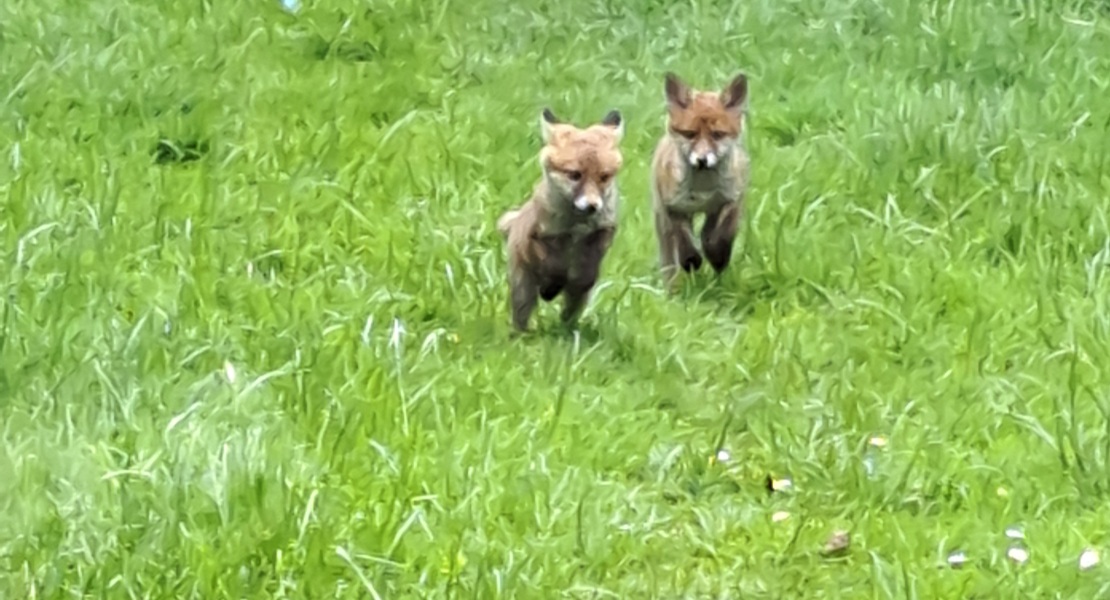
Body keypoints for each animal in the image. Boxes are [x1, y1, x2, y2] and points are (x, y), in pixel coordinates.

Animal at [496, 107, 625, 332]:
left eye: (603, 177)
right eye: (575, 175)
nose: (592, 206)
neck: (576, 227)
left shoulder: (602, 233)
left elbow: (586, 269)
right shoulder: (539, 237)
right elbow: (553, 265)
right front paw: (551, 286)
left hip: (576, 300)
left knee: (569, 314)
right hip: (522, 288)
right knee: (521, 314)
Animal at [650, 71, 751, 291]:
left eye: (718, 135)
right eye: (689, 134)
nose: (702, 160)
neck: (703, 188)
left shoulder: (731, 200)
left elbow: (720, 237)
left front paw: (718, 257)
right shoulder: (673, 207)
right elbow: (684, 241)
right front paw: (691, 260)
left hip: (711, 213)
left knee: (706, 234)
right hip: (662, 222)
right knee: (670, 260)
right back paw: (672, 289)